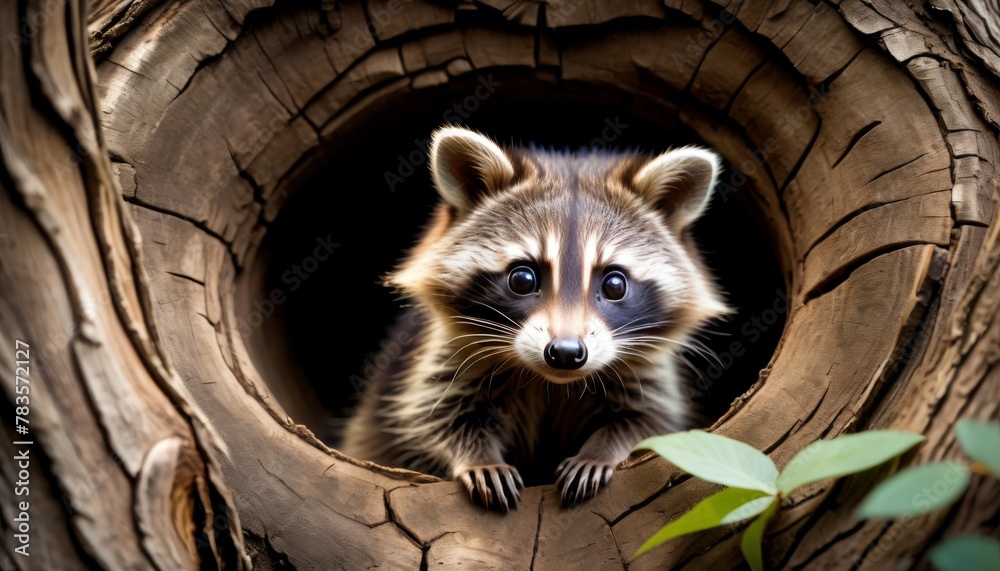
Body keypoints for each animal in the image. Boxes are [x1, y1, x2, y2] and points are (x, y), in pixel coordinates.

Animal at [341, 126, 730, 512]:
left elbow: (650, 423)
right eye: (523, 279)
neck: (553, 384)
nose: (566, 353)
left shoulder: (648, 371)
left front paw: (600, 451)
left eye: (615, 284)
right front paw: (479, 458)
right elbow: (435, 416)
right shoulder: (446, 355)